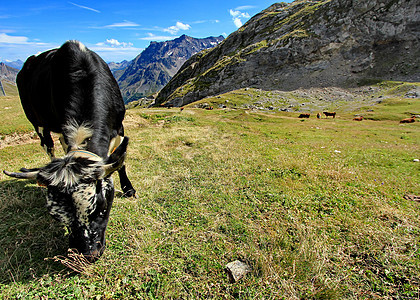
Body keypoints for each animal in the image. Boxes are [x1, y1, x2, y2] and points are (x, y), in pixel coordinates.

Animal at [4, 40, 137, 262]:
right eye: (56, 217)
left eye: (101, 207)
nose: (88, 254)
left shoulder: (119, 126)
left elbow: (121, 162)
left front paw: (129, 189)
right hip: (37, 122)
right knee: (48, 146)